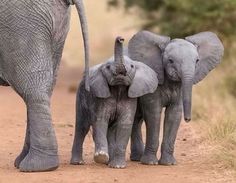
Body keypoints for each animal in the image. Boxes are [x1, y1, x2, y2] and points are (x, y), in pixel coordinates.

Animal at [70, 37, 159, 169]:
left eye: (132, 66)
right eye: (107, 67)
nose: (120, 38)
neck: (118, 89)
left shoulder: (129, 98)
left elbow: (124, 124)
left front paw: (117, 166)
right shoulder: (101, 97)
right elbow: (100, 121)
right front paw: (101, 156)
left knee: (110, 130)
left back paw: (109, 162)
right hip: (81, 95)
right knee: (82, 127)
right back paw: (78, 162)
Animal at [128, 30, 224, 165]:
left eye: (197, 61)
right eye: (170, 61)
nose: (188, 119)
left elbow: (174, 114)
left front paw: (168, 163)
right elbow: (154, 113)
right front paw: (150, 163)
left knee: (138, 118)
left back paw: (137, 158)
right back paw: (138, 158)